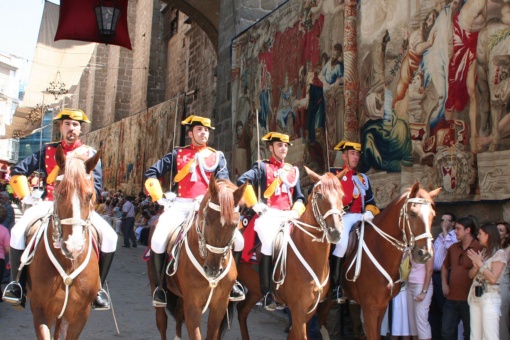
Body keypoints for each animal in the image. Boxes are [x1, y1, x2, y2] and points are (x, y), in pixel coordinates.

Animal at [26, 146, 101, 340]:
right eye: (59, 194)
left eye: (89, 195)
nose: (73, 247)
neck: (68, 264)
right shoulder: (40, 310)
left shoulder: (80, 315)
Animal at [147, 175, 247, 340]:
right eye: (207, 220)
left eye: (234, 225)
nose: (213, 270)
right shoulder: (193, 306)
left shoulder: (219, 306)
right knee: (162, 321)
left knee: (178, 315)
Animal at [237, 167, 344, 340]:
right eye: (319, 195)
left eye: (342, 195)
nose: (335, 232)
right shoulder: (298, 309)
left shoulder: (309, 310)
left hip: (254, 290)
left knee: (241, 311)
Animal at [332, 183, 440, 340]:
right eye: (412, 213)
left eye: (433, 215)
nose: (424, 254)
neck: (380, 249)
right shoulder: (370, 309)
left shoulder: (381, 307)